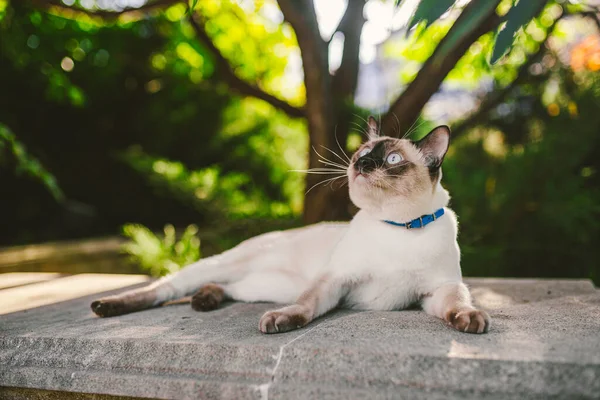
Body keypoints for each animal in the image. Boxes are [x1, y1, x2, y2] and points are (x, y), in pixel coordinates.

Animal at [91, 115, 490, 334]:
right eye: (363, 154)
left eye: (392, 160)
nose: (361, 165)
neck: (397, 225)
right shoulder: (334, 282)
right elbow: (305, 307)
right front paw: (281, 322)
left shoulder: (437, 291)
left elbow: (459, 305)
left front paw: (471, 320)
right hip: (222, 267)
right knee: (165, 289)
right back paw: (105, 307)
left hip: (264, 286)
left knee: (227, 288)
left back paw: (205, 301)